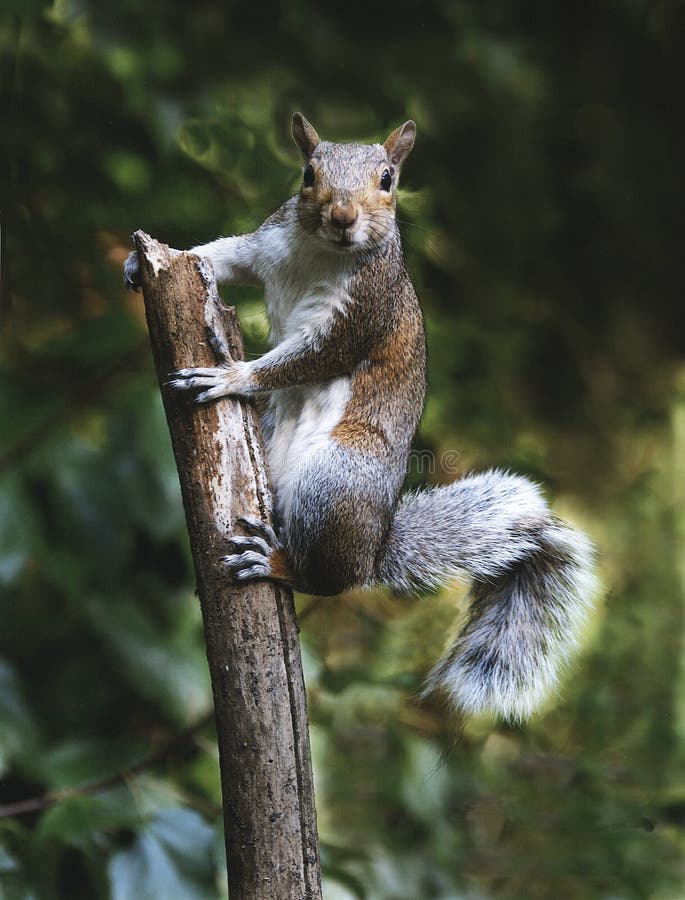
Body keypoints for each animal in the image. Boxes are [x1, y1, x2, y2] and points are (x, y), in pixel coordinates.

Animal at [125, 112, 596, 720]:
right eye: (308, 173)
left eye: (388, 179)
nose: (343, 216)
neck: (322, 252)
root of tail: (373, 547)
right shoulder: (266, 246)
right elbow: (222, 255)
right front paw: (142, 261)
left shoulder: (362, 313)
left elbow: (307, 358)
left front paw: (233, 377)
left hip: (334, 483)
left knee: (331, 581)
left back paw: (278, 563)